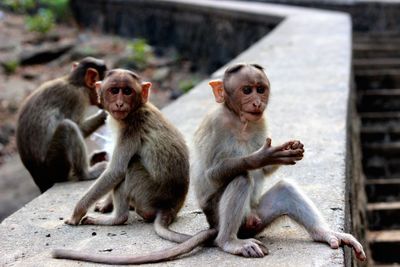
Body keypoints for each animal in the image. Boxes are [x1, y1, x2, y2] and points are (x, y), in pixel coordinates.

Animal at [16, 57, 109, 194]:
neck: (75, 83)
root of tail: (42, 183)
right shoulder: (77, 98)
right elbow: (78, 126)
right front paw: (104, 115)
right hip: (55, 166)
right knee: (68, 127)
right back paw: (86, 174)